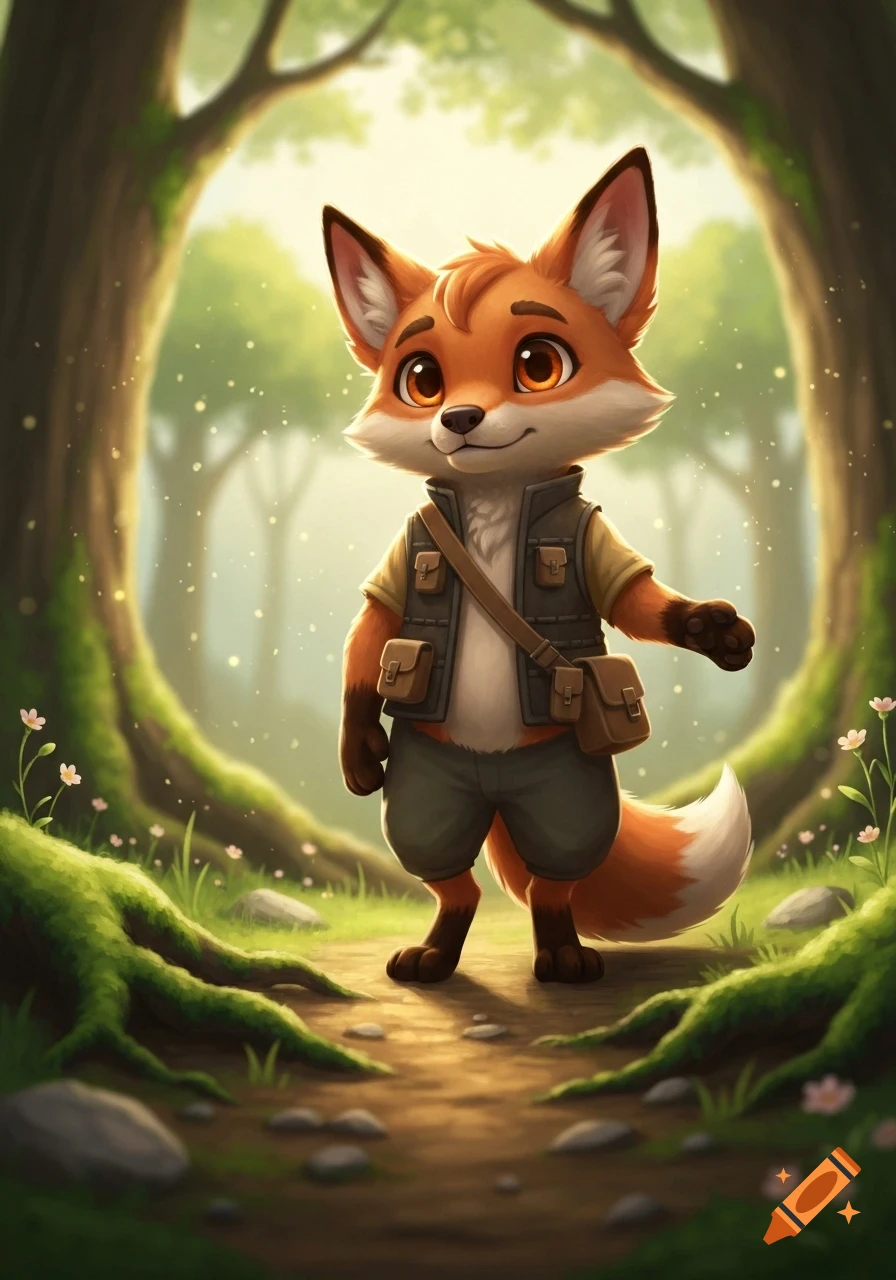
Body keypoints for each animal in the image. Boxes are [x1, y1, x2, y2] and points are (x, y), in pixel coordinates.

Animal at [323, 147, 755, 985]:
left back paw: (560, 951)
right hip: (432, 786)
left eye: (538, 364)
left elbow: (641, 605)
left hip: (564, 791)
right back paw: (437, 947)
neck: (494, 505)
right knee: (443, 865)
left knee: (561, 863)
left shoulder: (595, 544)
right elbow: (373, 631)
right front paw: (358, 746)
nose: (458, 418)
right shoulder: (404, 556)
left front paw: (711, 629)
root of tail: (494, 777)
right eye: (421, 379)